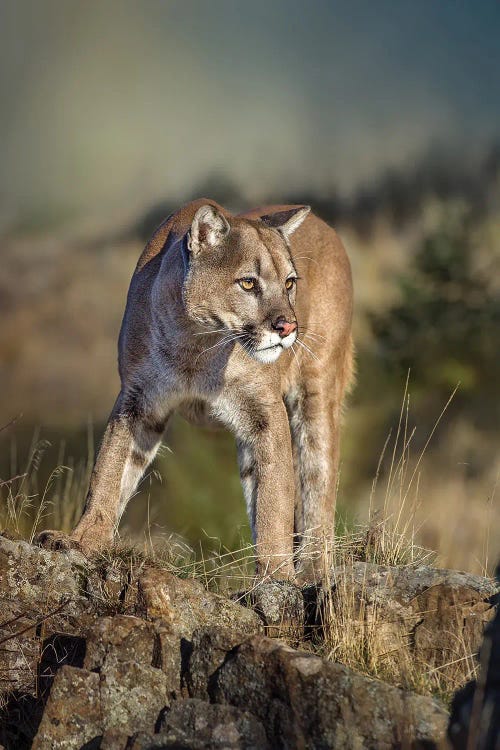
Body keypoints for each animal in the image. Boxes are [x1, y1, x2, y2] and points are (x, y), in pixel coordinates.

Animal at [38, 200, 352, 580]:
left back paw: (312, 573)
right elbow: (109, 470)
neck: (196, 344)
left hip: (316, 391)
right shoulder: (137, 399)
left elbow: (275, 498)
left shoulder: (264, 411)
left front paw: (277, 576)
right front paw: (83, 540)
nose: (288, 327)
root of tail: (327, 227)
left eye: (290, 283)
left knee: (316, 482)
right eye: (248, 283)